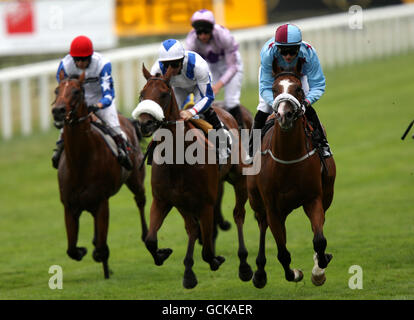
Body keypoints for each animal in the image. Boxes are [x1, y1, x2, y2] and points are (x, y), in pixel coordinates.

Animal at [51, 70, 148, 278]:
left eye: (76, 91)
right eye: (56, 90)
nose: (58, 110)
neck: (80, 162)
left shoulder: (102, 202)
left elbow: (102, 248)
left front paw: (102, 262)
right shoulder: (69, 206)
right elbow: (72, 250)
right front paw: (83, 250)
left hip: (136, 179)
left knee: (140, 201)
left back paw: (146, 236)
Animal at [133, 64, 252, 288]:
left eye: (164, 94)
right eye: (142, 94)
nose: (145, 124)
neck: (178, 158)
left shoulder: (205, 203)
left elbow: (207, 251)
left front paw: (216, 260)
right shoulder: (164, 199)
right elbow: (151, 240)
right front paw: (163, 254)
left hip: (240, 180)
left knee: (238, 215)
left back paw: (244, 265)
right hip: (184, 202)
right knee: (192, 228)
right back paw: (189, 270)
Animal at [247, 59, 334, 288]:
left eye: (298, 89)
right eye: (275, 89)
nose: (284, 115)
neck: (287, 160)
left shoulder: (313, 198)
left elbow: (319, 240)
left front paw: (319, 270)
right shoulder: (272, 207)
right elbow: (283, 253)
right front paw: (294, 273)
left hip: (325, 193)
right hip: (257, 202)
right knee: (262, 225)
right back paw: (259, 272)